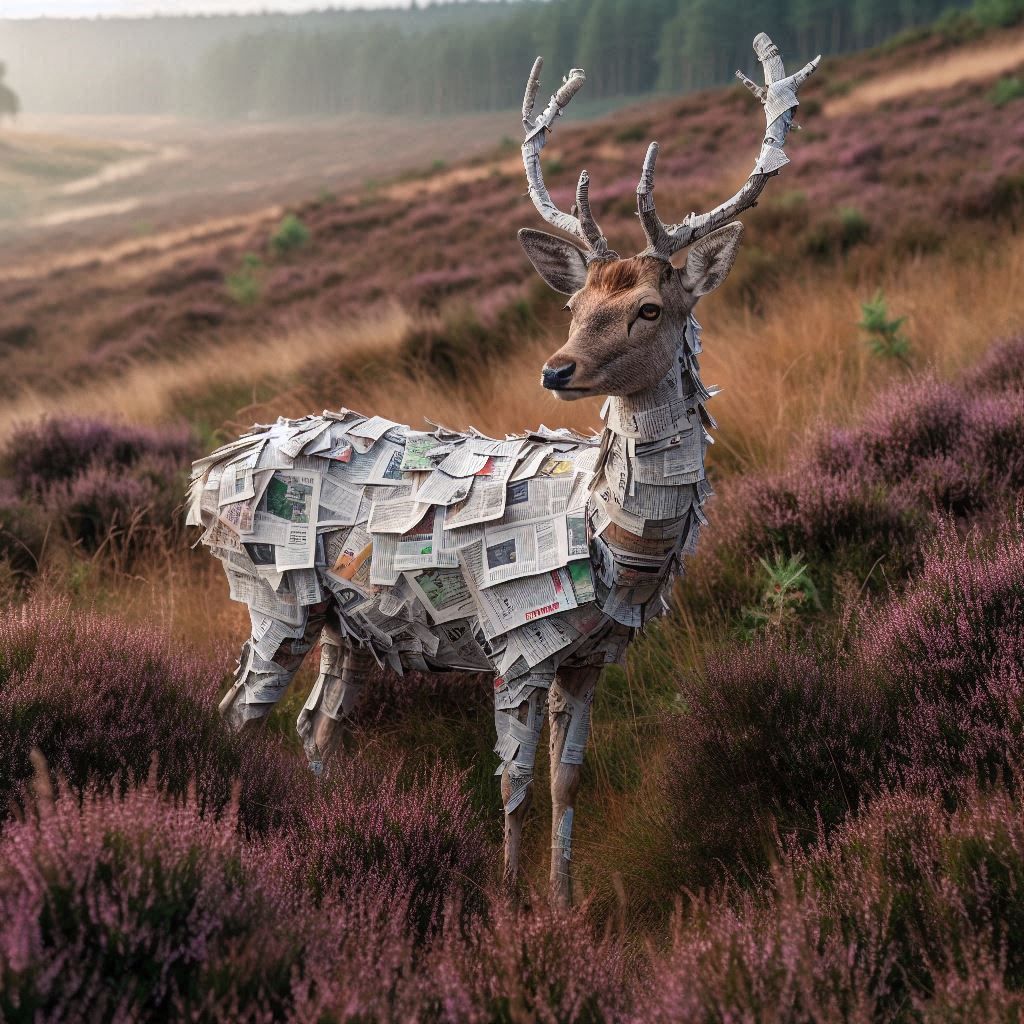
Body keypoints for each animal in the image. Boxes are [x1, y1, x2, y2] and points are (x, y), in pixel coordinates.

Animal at [189, 32, 819, 907]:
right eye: (574, 305)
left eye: (649, 308)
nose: (557, 369)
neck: (606, 536)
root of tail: (207, 472)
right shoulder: (516, 642)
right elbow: (512, 786)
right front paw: (509, 905)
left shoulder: (590, 658)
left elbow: (566, 780)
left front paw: (562, 902)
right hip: (268, 591)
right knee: (236, 715)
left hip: (342, 621)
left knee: (314, 726)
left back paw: (327, 826)